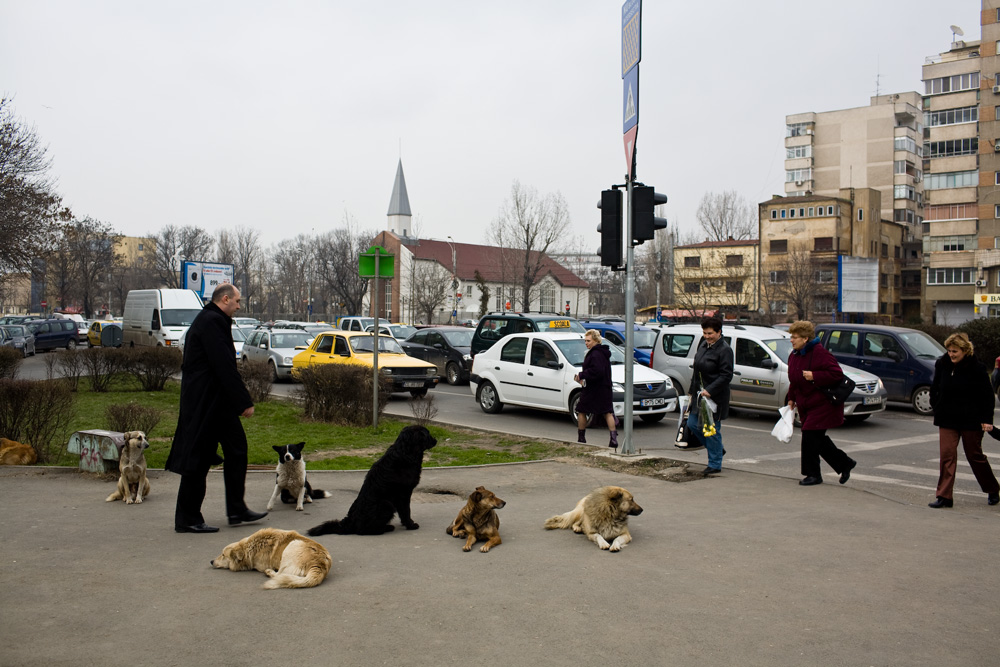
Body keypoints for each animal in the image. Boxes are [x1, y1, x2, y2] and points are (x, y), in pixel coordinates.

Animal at [306, 428, 436, 536]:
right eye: (427, 434)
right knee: (365, 531)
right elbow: (406, 511)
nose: (436, 440)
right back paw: (387, 528)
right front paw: (411, 525)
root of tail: (350, 523)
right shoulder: (404, 493)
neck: (406, 452)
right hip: (386, 504)